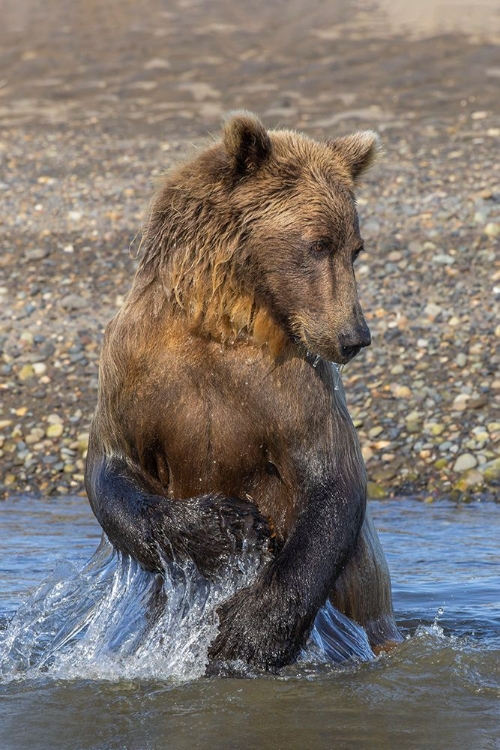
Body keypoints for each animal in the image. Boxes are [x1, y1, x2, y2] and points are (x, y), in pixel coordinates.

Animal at [84, 113, 400, 676]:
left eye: (355, 247)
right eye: (318, 243)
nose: (354, 336)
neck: (217, 318)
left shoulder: (294, 382)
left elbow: (332, 478)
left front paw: (248, 632)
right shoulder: (133, 368)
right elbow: (113, 469)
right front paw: (224, 526)